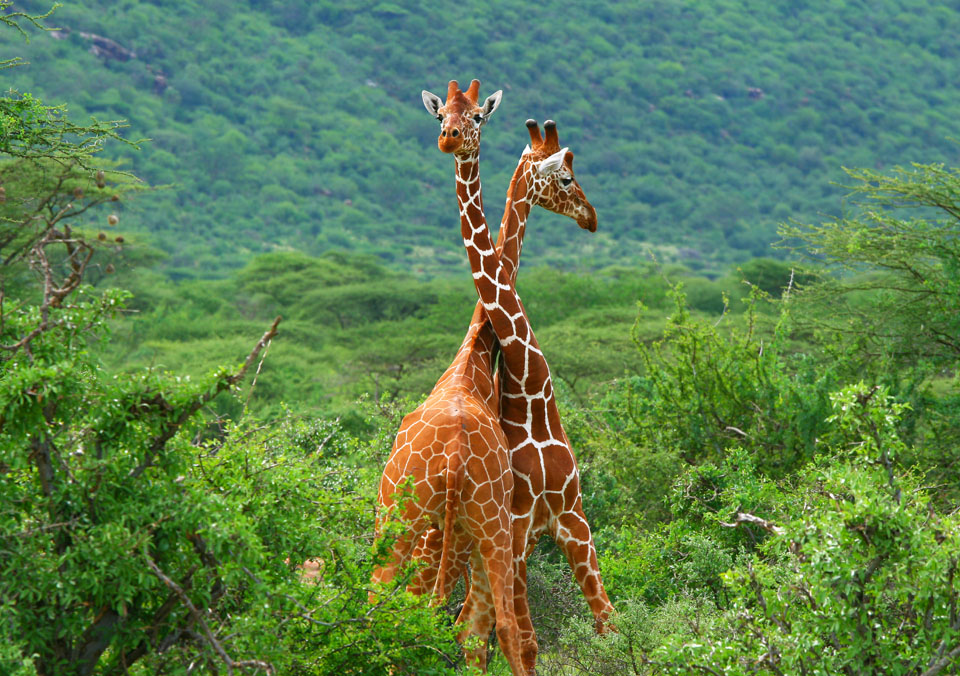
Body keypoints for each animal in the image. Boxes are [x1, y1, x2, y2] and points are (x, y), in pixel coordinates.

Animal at [372, 78, 528, 676]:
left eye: (478, 117)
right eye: (443, 115)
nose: (450, 138)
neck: (473, 356)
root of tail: (457, 462)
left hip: (408, 521)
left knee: (386, 605)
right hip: (483, 528)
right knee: (497, 626)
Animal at [420, 82, 616, 672]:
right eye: (568, 177)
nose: (591, 217)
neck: (532, 403)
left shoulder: (572, 515)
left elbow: (608, 623)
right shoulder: (524, 528)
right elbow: (530, 639)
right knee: (463, 622)